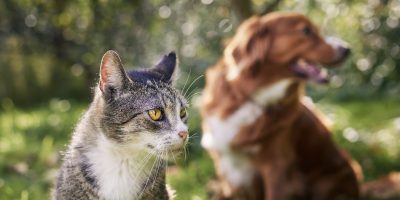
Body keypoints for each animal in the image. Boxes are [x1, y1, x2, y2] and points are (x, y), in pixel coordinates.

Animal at [200, 11, 360, 199]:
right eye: (306, 30)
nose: (347, 49)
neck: (253, 97)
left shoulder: (278, 167)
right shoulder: (233, 169)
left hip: (327, 182)